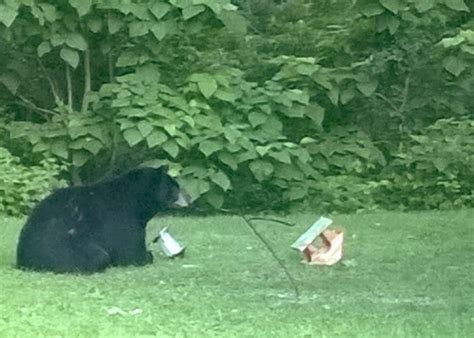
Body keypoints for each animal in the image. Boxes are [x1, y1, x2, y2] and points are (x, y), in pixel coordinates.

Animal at [16, 166, 187, 274]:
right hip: (64, 248)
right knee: (99, 256)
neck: (136, 199)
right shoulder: (124, 220)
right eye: (175, 187)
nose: (188, 198)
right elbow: (130, 252)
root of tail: (23, 260)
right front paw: (146, 255)